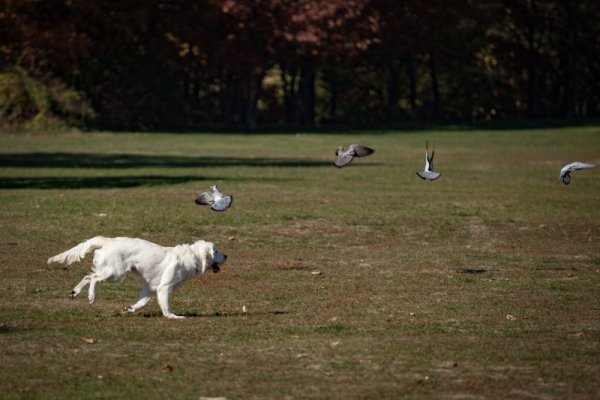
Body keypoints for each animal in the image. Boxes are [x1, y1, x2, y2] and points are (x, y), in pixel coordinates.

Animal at [47, 238, 227, 318]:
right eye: (216, 251)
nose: (226, 256)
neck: (191, 257)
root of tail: (107, 241)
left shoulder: (150, 288)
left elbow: (141, 303)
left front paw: (129, 309)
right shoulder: (164, 288)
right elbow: (166, 306)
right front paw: (173, 317)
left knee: (87, 276)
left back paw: (75, 292)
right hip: (116, 274)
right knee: (94, 278)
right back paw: (91, 296)